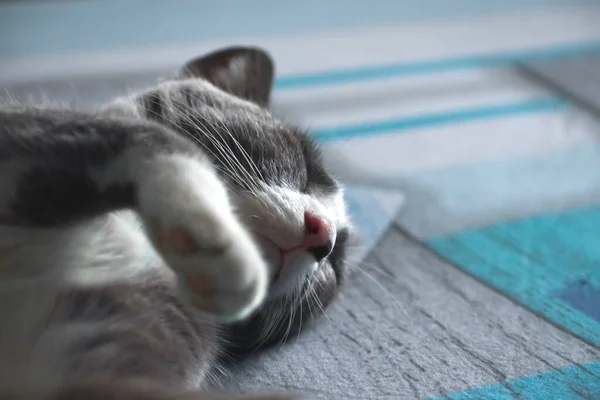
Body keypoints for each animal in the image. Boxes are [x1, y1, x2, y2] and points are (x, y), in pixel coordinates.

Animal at [0, 47, 352, 400]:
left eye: (334, 266)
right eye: (306, 165)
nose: (324, 235)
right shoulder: (22, 124)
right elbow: (161, 138)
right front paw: (210, 239)